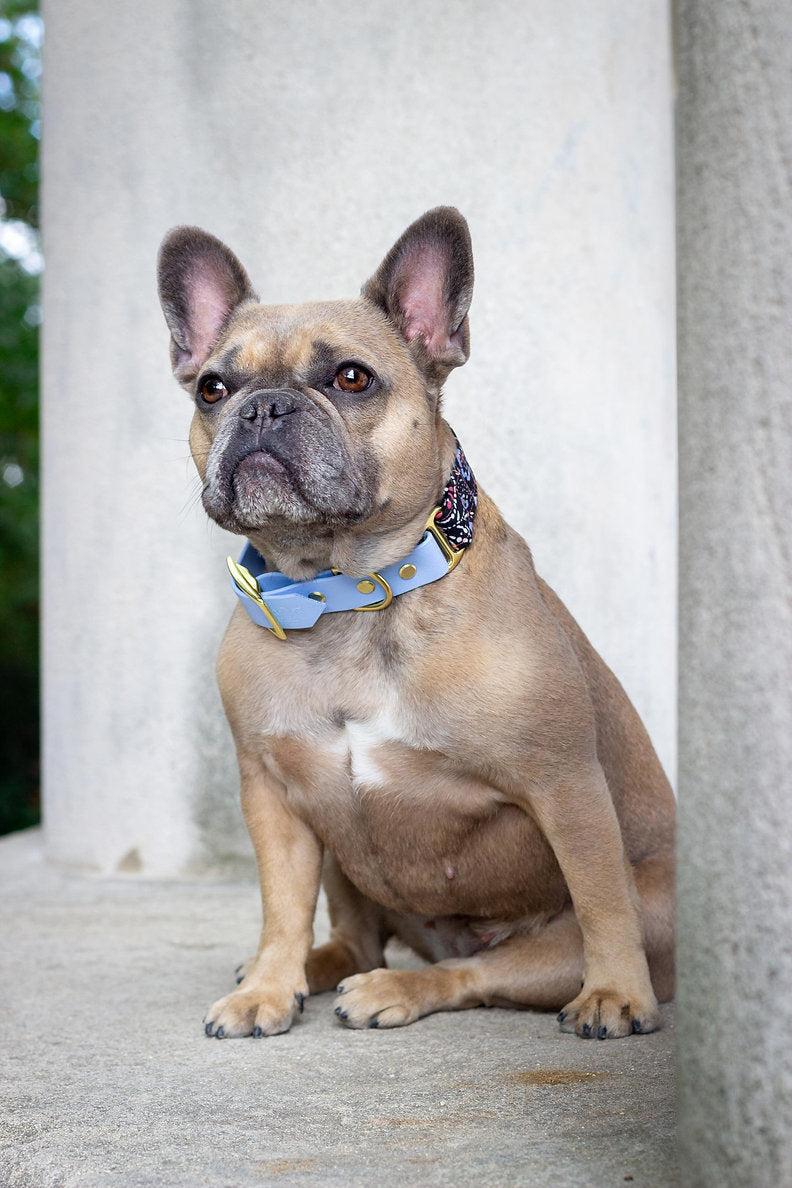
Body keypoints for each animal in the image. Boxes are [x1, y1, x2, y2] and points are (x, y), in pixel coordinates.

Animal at [159, 206, 674, 1040]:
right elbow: (281, 904)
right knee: (353, 934)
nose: (263, 406)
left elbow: (601, 902)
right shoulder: (272, 795)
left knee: (478, 973)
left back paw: (392, 990)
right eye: (212, 387)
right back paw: (313, 971)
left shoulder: (566, 785)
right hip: (343, 859)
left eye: (351, 378)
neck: (344, 590)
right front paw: (266, 988)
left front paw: (618, 994)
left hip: (619, 909)